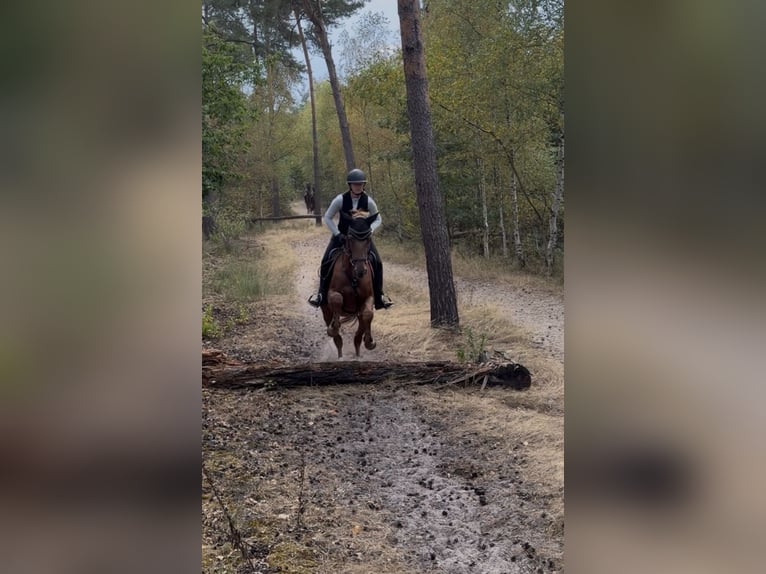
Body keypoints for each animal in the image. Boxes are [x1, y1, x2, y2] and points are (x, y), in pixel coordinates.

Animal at [321, 211, 380, 358]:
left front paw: (369, 342)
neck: (353, 276)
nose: (361, 270)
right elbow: (337, 298)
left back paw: (358, 354)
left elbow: (368, 314)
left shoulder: (368, 297)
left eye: (368, 239)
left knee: (358, 335)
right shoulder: (332, 294)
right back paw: (339, 352)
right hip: (325, 309)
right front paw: (334, 326)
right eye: (350, 238)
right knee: (337, 338)